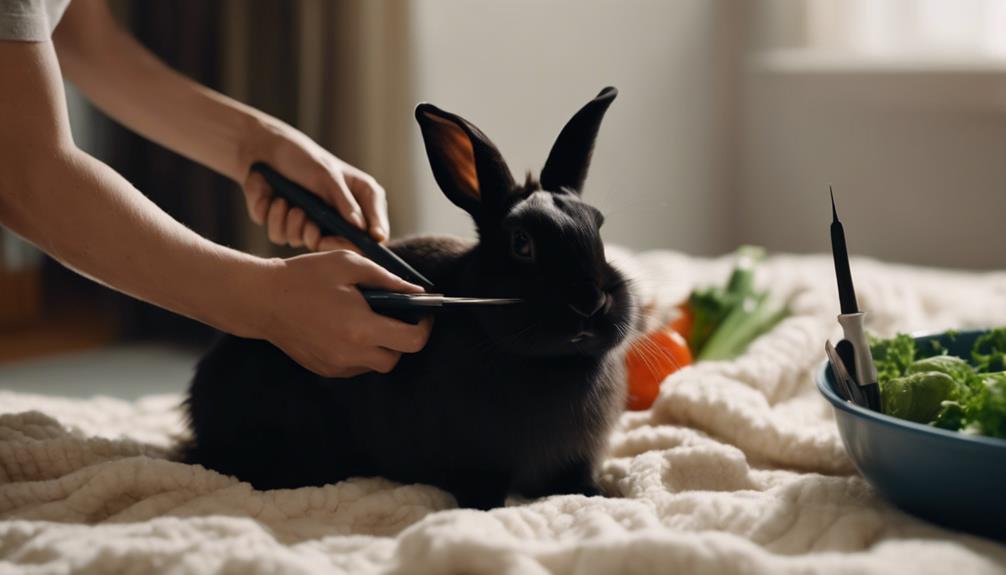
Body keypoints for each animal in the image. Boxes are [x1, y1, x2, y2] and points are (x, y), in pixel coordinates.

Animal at [181, 87, 636, 510]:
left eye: (597, 226)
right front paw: (486, 509)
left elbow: (576, 481)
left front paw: (601, 496)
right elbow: (483, 491)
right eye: (522, 243)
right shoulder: (475, 459)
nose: (590, 302)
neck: (552, 363)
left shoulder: (574, 458)